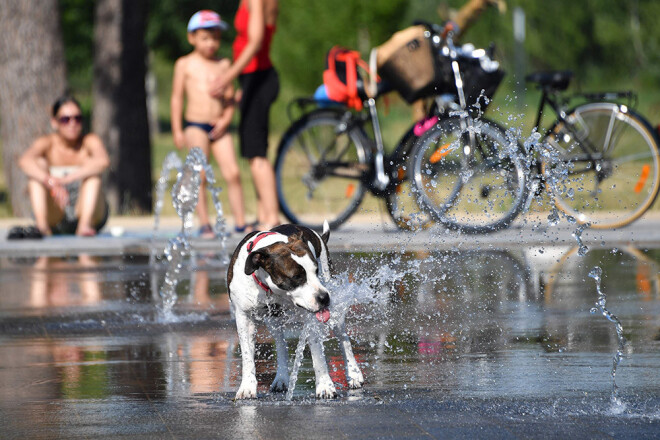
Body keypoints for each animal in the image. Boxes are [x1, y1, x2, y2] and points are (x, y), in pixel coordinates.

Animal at [226, 223, 360, 398]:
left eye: (316, 271)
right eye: (296, 277)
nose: (324, 298)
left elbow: (318, 353)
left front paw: (325, 385)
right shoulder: (243, 317)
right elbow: (248, 356)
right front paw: (247, 386)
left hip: (334, 310)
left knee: (343, 338)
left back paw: (354, 373)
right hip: (273, 320)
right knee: (281, 344)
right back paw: (281, 378)